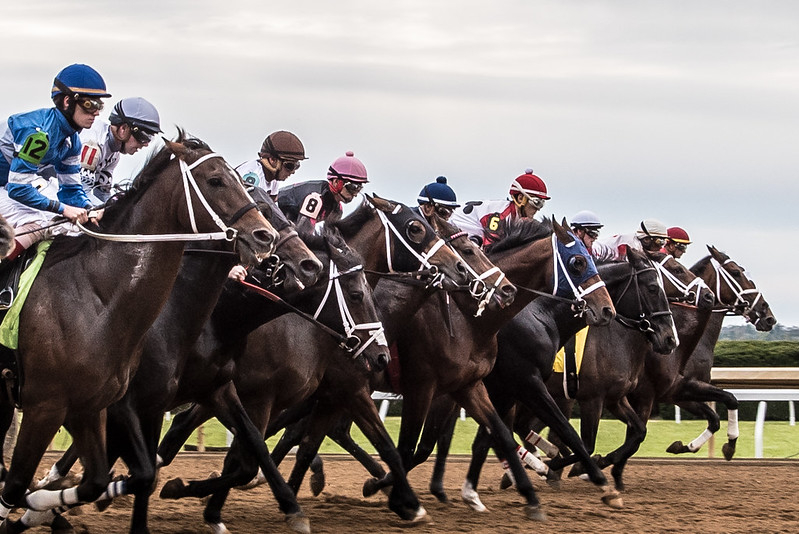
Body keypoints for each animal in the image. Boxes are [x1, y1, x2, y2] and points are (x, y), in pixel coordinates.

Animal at [0, 133, 278, 532]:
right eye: (215, 181)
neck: (96, 298)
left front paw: (41, 504)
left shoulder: (91, 406)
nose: (265, 237)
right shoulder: (47, 406)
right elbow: (16, 484)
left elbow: (105, 479)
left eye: (241, 181)